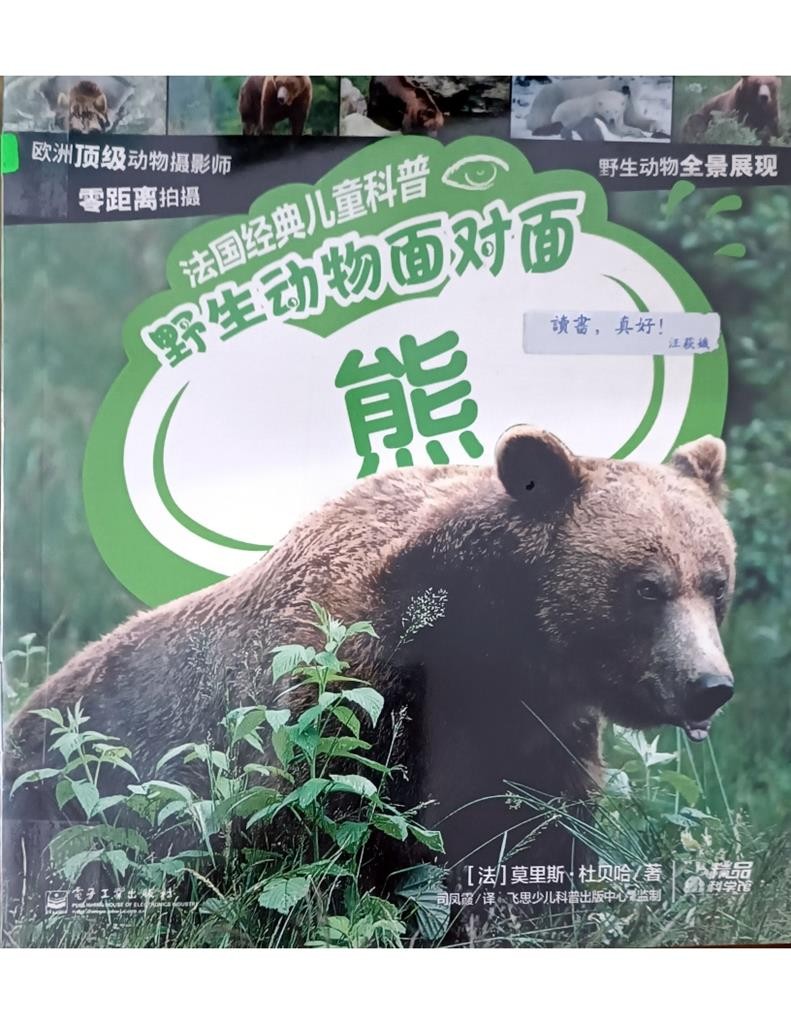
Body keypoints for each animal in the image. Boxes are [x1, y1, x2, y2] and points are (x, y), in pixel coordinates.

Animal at [3, 426, 736, 903]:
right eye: (646, 587)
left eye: (715, 582)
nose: (709, 686)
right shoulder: (352, 702)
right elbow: (335, 845)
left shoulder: (535, 732)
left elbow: (543, 834)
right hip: (68, 794)